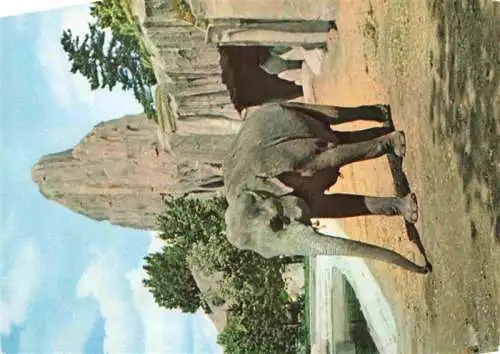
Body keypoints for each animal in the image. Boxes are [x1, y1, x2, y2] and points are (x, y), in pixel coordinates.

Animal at [223, 101, 430, 274]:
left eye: (277, 221)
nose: (425, 267)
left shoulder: (289, 157)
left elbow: (329, 157)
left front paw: (398, 144)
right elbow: (335, 205)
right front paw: (411, 211)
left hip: (291, 106)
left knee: (333, 115)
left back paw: (387, 119)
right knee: (341, 137)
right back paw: (387, 125)